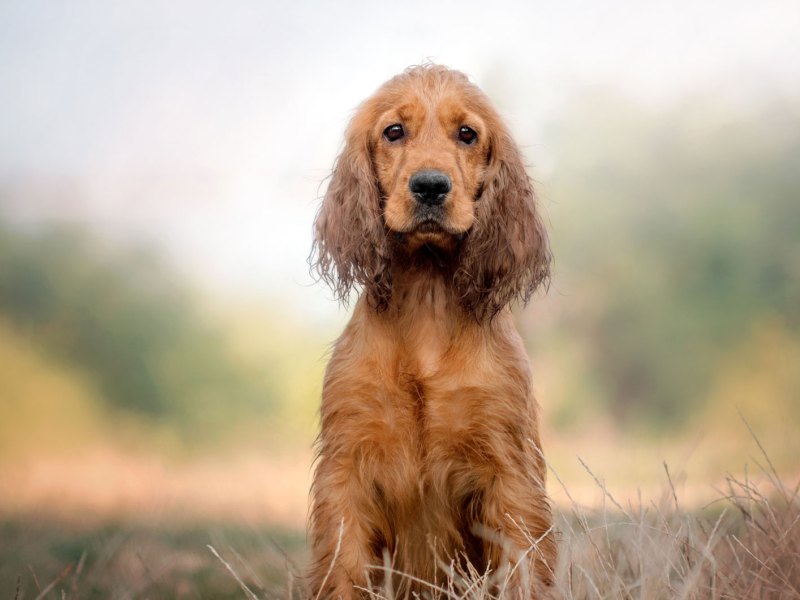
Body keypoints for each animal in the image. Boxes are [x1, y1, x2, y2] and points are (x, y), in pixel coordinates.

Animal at [308, 63, 556, 596]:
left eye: (467, 134)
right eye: (393, 131)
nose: (429, 186)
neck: (426, 297)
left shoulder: (509, 473)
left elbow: (524, 566)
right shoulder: (347, 470)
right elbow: (342, 570)